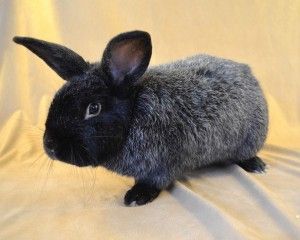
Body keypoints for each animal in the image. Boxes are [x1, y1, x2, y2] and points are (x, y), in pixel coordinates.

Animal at [12, 30, 268, 205]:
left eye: (93, 108)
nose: (50, 146)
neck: (134, 115)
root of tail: (248, 73)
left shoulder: (160, 167)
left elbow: (153, 182)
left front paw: (136, 197)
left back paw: (256, 166)